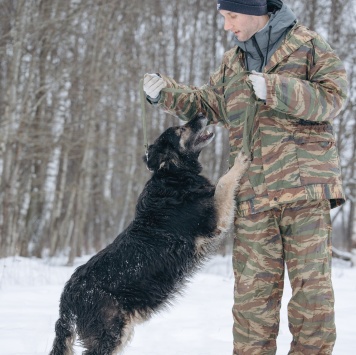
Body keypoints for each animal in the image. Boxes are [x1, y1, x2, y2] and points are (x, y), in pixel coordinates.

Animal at [49, 114, 250, 355]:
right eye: (180, 129)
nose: (202, 115)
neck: (172, 173)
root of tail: (66, 299)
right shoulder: (215, 219)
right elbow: (224, 181)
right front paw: (239, 162)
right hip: (112, 332)